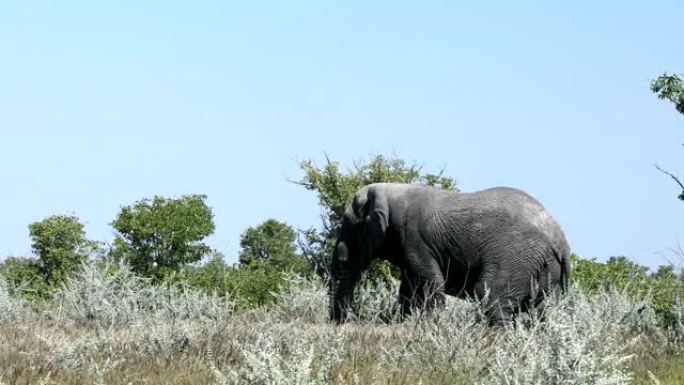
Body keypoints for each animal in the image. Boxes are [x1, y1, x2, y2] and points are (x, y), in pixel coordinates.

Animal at [328, 183, 568, 324]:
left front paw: (428, 324)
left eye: (348, 225)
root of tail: (562, 241)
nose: (344, 321)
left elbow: (431, 281)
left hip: (515, 257)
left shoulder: (414, 238)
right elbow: (409, 285)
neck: (389, 193)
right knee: (545, 311)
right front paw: (405, 322)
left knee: (489, 294)